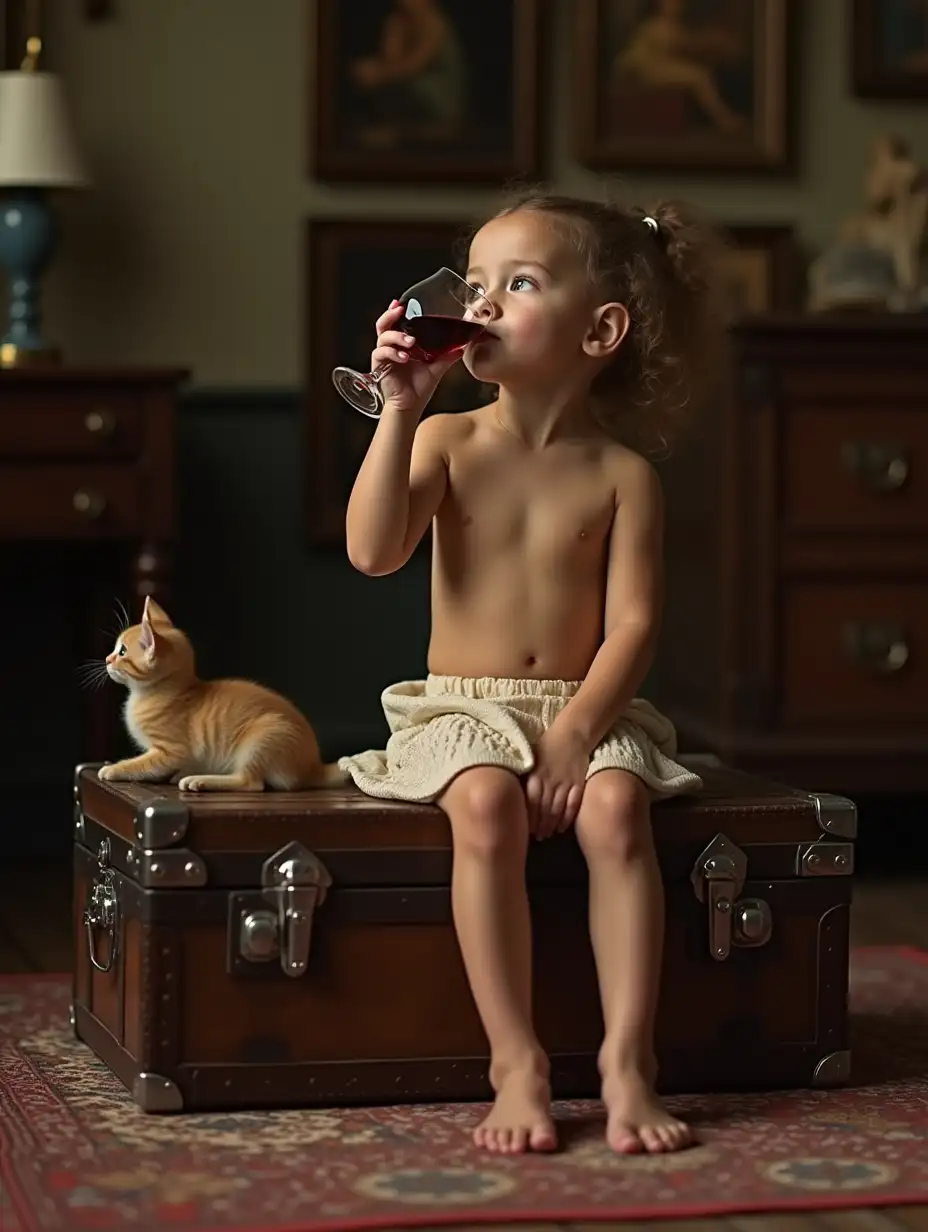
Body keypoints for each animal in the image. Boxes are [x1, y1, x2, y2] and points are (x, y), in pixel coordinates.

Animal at [96, 596, 345, 788]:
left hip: (264, 736)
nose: (107, 659)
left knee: (251, 783)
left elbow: (143, 764)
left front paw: (115, 769)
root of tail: (313, 766)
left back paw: (201, 780)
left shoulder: (170, 750)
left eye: (122, 651)